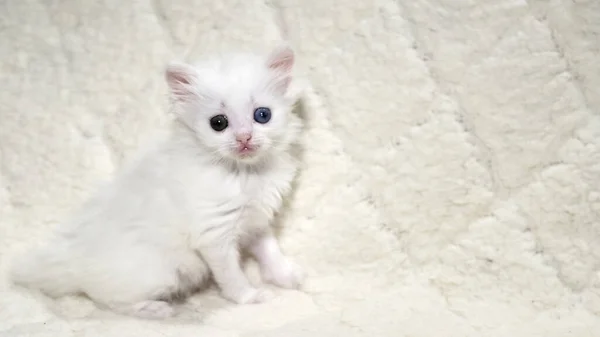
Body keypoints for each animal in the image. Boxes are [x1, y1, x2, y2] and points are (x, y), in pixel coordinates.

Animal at [10, 46, 304, 318]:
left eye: (262, 115)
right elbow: (231, 275)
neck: (245, 172)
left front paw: (287, 276)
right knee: (105, 299)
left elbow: (270, 250)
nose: (244, 138)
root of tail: (72, 260)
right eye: (218, 123)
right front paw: (249, 296)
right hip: (160, 273)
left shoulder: (257, 220)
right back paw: (155, 309)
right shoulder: (214, 235)